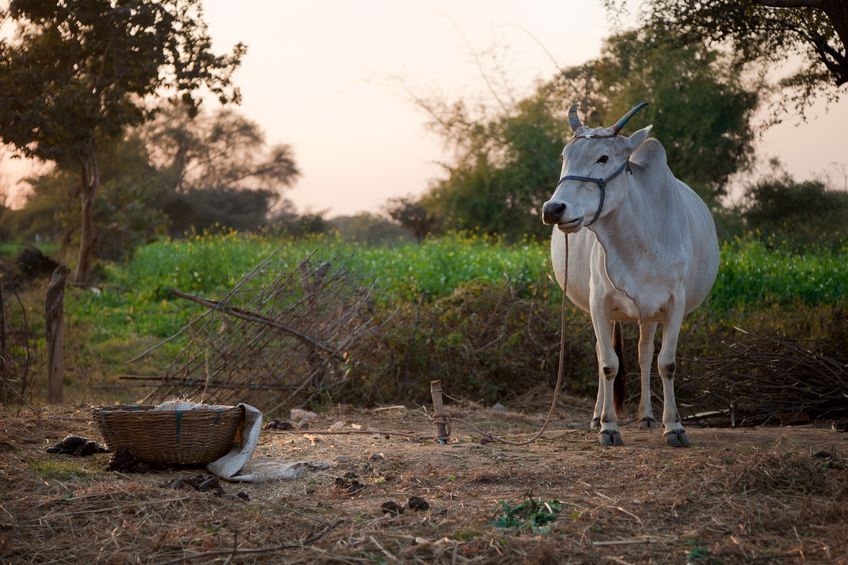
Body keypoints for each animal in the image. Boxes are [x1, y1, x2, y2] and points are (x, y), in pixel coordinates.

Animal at [544, 100, 716, 446]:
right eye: (565, 156)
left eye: (603, 157)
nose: (553, 209)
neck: (638, 243)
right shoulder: (598, 303)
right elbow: (608, 364)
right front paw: (608, 426)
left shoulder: (674, 303)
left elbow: (667, 363)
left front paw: (674, 427)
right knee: (604, 353)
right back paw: (597, 415)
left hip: (650, 315)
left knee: (644, 353)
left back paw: (647, 415)